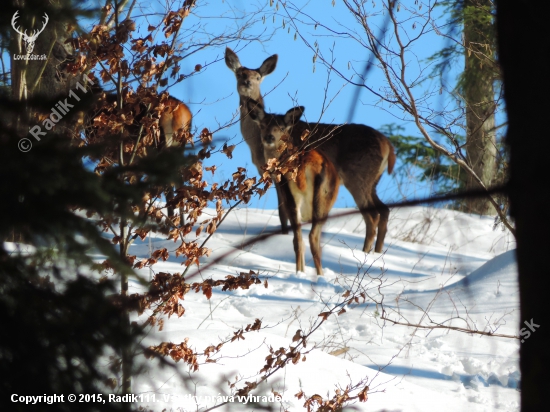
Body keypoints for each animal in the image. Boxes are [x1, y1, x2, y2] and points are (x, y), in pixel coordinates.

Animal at [247, 98, 396, 256]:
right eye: (262, 125)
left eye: (281, 127)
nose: (269, 137)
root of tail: (388, 145)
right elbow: (283, 213)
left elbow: (284, 212)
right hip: (372, 182)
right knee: (384, 209)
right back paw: (377, 252)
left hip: (357, 177)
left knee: (372, 214)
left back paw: (365, 252)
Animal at [247, 100, 340, 276]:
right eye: (263, 125)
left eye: (281, 127)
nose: (269, 137)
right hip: (322, 199)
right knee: (312, 238)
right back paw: (317, 275)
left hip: (291, 195)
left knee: (300, 240)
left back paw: (301, 273)